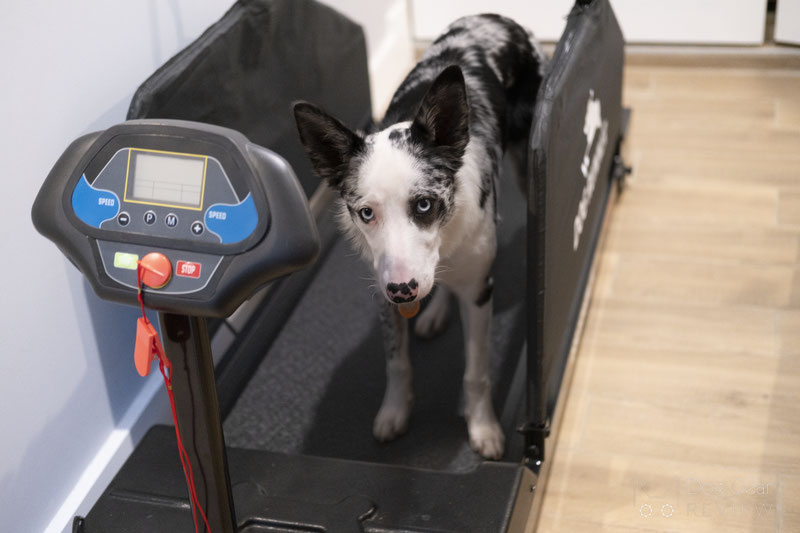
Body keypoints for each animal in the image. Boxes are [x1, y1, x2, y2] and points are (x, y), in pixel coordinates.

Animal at [294, 14, 544, 460]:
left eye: (424, 205)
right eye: (366, 213)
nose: (404, 290)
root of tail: (495, 17)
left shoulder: (479, 292)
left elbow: (476, 372)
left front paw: (483, 427)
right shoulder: (382, 293)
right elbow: (397, 363)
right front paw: (395, 412)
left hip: (522, 163)